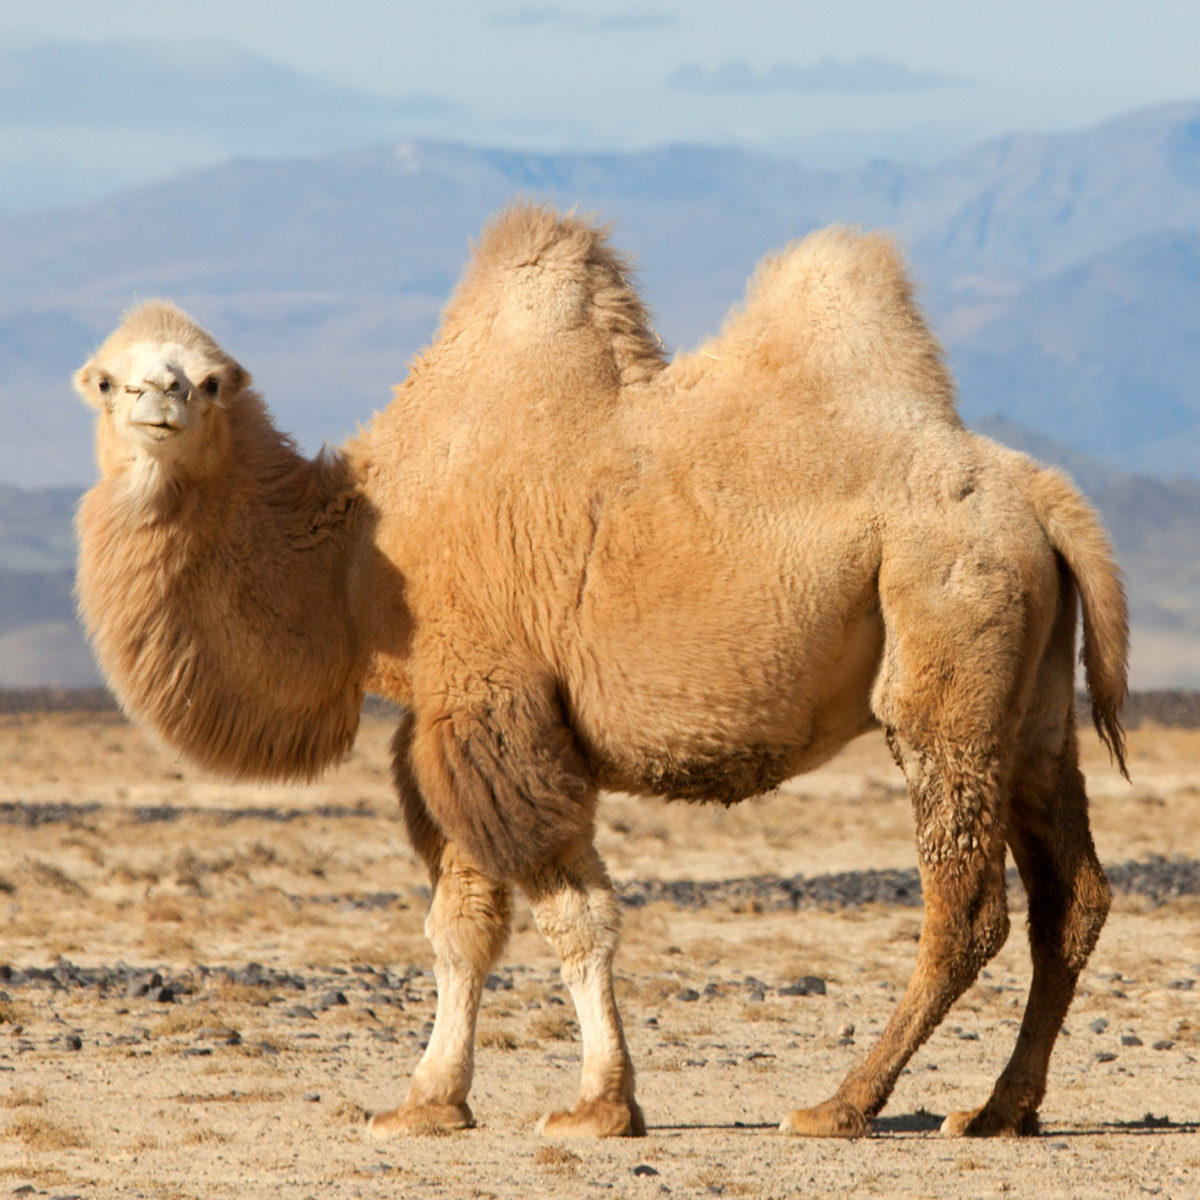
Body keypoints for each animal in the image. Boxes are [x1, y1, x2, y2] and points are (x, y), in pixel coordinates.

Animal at [72, 206, 1123, 1142]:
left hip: (947, 641)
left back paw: (842, 1106)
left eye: (209, 382)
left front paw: (599, 1106)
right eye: (107, 379)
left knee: (967, 906)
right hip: (1030, 699)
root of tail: (1042, 494)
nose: (159, 401)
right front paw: (428, 1103)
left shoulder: (494, 705)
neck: (359, 555)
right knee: (1072, 896)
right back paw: (998, 1109)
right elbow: (463, 924)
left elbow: (571, 917)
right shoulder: (448, 722)